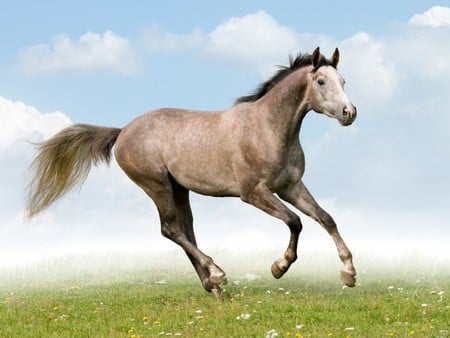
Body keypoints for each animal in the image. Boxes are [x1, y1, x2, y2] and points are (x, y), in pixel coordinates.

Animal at [27, 46, 358, 298]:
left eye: (343, 80)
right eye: (321, 81)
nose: (349, 113)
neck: (267, 128)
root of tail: (122, 132)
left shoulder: (291, 187)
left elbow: (326, 218)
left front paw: (349, 273)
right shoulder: (254, 193)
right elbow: (295, 222)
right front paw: (279, 267)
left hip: (179, 189)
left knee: (186, 230)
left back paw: (213, 286)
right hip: (157, 185)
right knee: (171, 229)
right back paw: (218, 273)